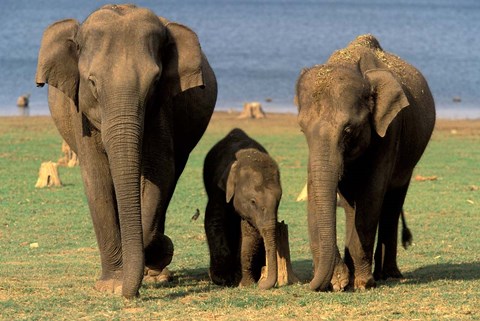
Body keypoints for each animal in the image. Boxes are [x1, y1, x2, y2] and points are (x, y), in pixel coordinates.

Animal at [36, 4, 217, 298]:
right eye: (92, 83)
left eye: (155, 82)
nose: (127, 289)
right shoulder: (80, 116)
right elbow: (96, 178)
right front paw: (110, 285)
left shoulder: (162, 110)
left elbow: (159, 171)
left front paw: (156, 255)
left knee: (172, 176)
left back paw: (157, 274)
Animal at [203, 128, 284, 290]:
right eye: (253, 201)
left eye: (279, 201)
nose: (262, 283)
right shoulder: (218, 189)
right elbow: (214, 221)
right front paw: (224, 278)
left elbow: (250, 234)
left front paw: (245, 283)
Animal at [294, 34, 436, 290]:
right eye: (302, 129)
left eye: (348, 129)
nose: (311, 284)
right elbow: (316, 190)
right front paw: (341, 281)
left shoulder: (389, 129)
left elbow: (372, 195)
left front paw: (362, 283)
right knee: (352, 205)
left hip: (408, 162)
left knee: (392, 203)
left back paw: (387, 275)